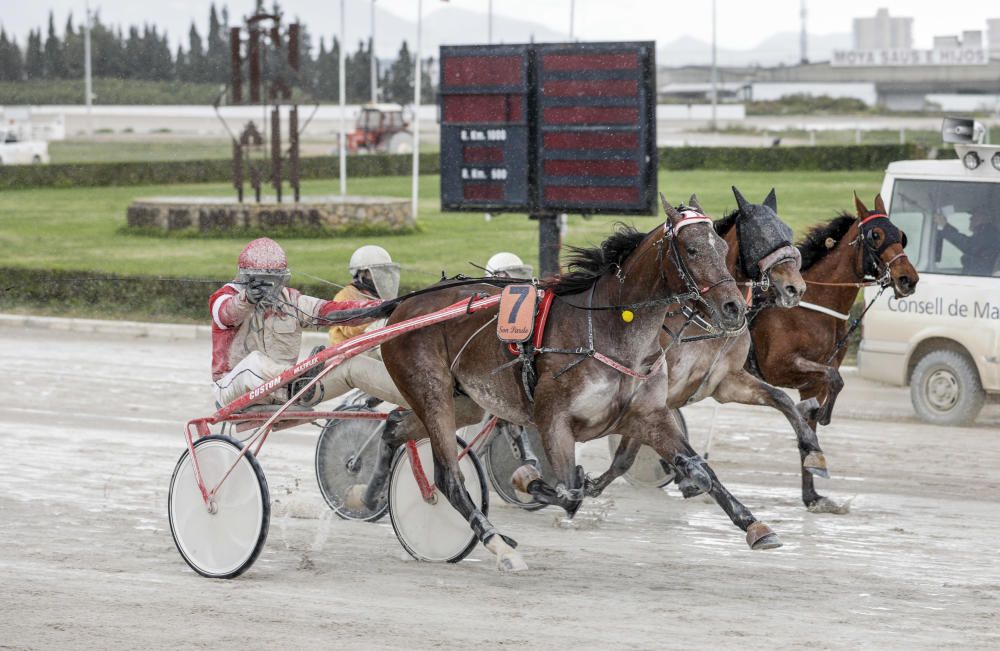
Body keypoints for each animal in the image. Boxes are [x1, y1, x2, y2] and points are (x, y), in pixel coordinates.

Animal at [376, 197, 780, 572]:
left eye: (723, 248)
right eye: (693, 249)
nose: (734, 308)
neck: (612, 330)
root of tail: (402, 308)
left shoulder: (651, 414)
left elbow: (700, 470)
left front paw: (756, 527)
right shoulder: (553, 417)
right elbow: (568, 490)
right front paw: (528, 478)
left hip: (465, 401)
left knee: (395, 426)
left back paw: (371, 492)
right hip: (432, 392)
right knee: (448, 477)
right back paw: (500, 545)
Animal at [588, 188, 832, 500]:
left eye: (787, 230)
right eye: (758, 234)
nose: (795, 288)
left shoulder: (726, 381)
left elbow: (782, 399)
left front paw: (813, 451)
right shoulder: (653, 396)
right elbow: (628, 453)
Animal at [752, 194, 920, 510]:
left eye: (901, 234)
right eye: (875, 235)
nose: (908, 279)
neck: (811, 307)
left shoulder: (811, 384)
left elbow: (812, 420)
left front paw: (811, 495)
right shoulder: (779, 365)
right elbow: (834, 378)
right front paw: (824, 415)